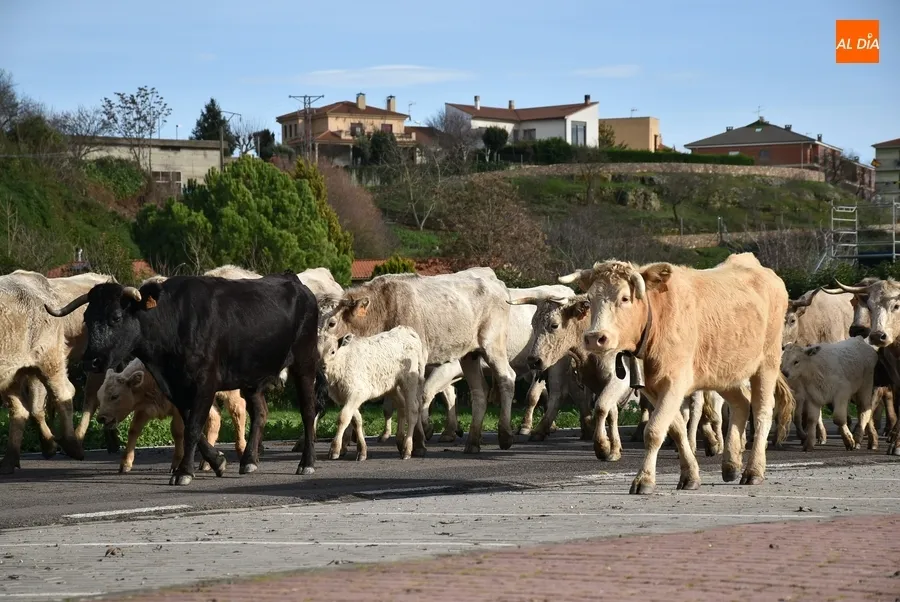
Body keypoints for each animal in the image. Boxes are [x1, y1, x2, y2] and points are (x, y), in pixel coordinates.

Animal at [96, 358, 248, 473]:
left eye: (114, 396)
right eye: (99, 395)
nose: (101, 418)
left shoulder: (178, 409)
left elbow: (178, 432)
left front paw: (176, 464)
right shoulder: (144, 409)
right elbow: (133, 431)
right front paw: (125, 464)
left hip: (230, 392)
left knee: (238, 411)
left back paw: (241, 451)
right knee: (214, 419)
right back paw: (206, 463)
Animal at [321, 268, 517, 454]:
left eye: (332, 323)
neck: (383, 308)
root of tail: (495, 281)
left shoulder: (416, 361)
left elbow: (413, 401)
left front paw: (417, 443)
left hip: (493, 345)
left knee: (507, 378)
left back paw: (505, 435)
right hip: (470, 354)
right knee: (479, 392)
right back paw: (473, 442)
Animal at [559, 252, 794, 494]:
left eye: (624, 298)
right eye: (590, 299)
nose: (594, 337)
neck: (657, 318)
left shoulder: (674, 383)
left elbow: (654, 431)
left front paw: (644, 479)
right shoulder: (653, 388)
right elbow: (677, 429)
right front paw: (690, 475)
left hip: (767, 364)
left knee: (762, 412)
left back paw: (753, 470)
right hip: (725, 373)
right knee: (741, 403)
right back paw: (731, 464)